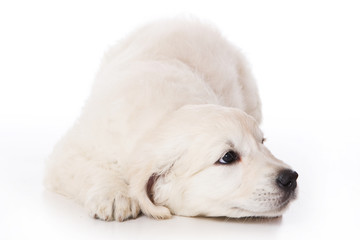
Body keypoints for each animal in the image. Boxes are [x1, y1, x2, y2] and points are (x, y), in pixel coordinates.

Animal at [44, 18, 298, 221]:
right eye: (227, 157)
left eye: (262, 143)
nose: (291, 177)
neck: (160, 119)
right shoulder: (70, 151)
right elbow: (85, 168)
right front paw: (115, 194)